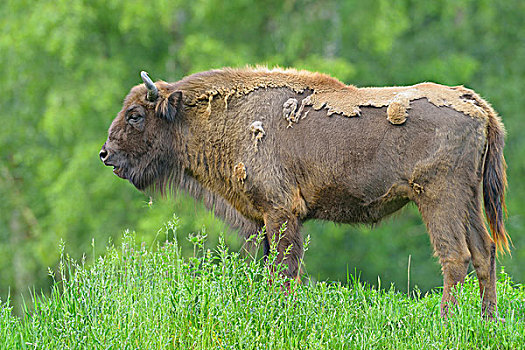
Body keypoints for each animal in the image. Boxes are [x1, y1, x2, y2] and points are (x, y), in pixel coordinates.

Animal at [99, 67, 508, 318]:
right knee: (484, 252)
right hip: (468, 200)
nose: (106, 154)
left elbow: (284, 269)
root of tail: (473, 103)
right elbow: (270, 267)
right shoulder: (263, 218)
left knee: (455, 256)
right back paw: (488, 322)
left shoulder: (281, 211)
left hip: (438, 198)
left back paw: (447, 321)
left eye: (136, 115)